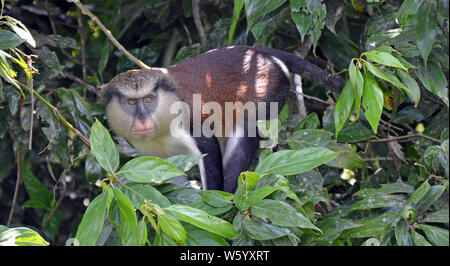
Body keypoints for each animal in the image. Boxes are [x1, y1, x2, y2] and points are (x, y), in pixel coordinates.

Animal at [98, 45, 344, 191]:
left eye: (148, 100)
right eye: (131, 103)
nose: (142, 120)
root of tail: (259, 52)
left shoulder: (191, 124)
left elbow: (210, 153)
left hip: (268, 91)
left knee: (247, 131)